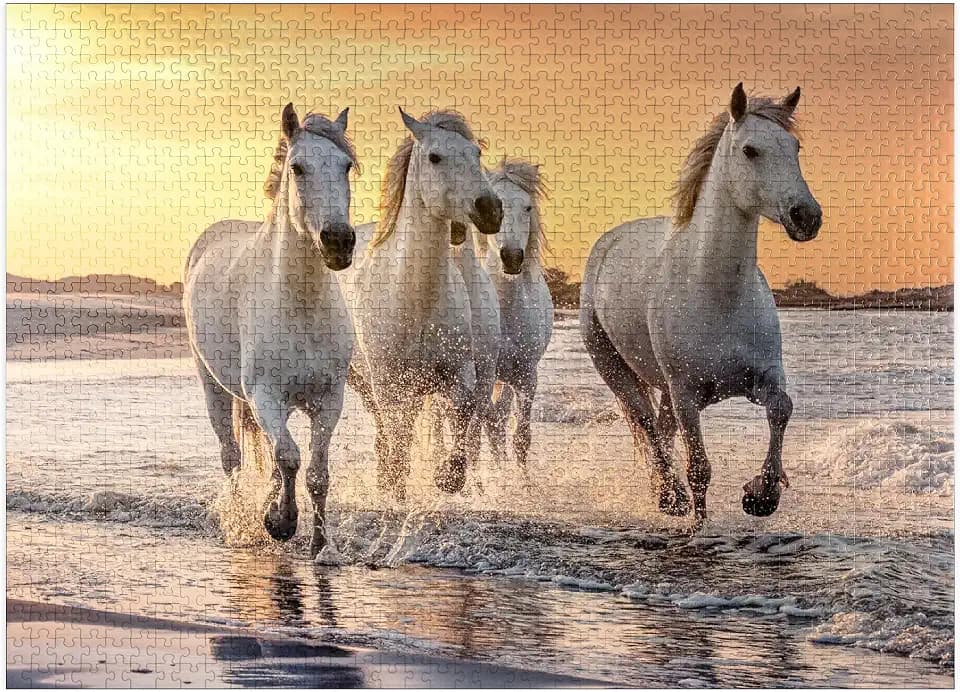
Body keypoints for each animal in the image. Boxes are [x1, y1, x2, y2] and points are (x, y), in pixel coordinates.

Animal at [183, 104, 359, 557]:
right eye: (297, 167)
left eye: (346, 166)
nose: (338, 242)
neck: (300, 304)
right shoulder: (265, 396)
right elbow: (290, 457)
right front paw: (280, 522)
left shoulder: (328, 401)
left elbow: (315, 472)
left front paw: (319, 545)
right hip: (215, 388)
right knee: (232, 457)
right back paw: (242, 519)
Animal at [341, 109, 503, 501]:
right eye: (434, 157)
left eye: (476, 153)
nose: (490, 209)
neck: (415, 300)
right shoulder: (387, 383)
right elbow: (398, 438)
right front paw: (398, 489)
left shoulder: (459, 373)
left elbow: (462, 412)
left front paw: (448, 477)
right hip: (367, 382)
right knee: (387, 430)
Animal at [580, 84, 822, 528]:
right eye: (750, 150)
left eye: (795, 147)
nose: (806, 216)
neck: (717, 294)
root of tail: (608, 242)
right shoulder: (687, 395)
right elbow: (699, 469)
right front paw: (699, 525)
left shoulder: (762, 378)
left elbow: (782, 408)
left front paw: (761, 495)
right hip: (615, 368)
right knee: (647, 425)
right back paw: (670, 497)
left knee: (661, 429)